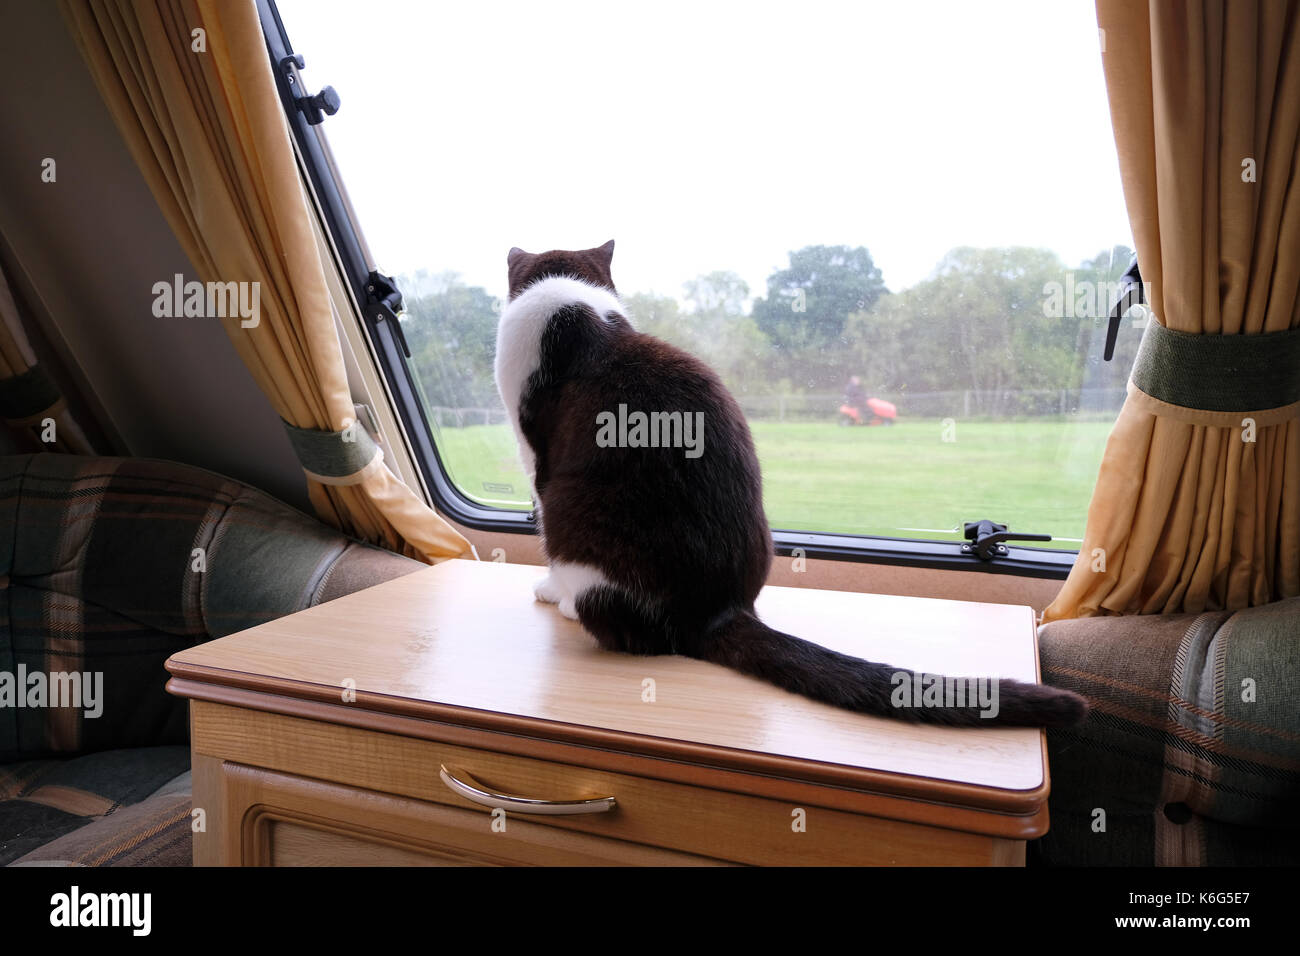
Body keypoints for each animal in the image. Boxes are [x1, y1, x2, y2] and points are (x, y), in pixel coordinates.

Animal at [493, 243, 1086, 728]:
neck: (570, 299)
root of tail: (716, 609)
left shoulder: (535, 459)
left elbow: (539, 521)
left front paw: (547, 588)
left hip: (575, 520)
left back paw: (570, 604)